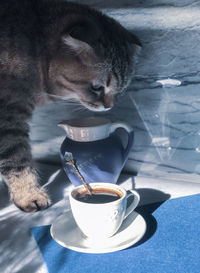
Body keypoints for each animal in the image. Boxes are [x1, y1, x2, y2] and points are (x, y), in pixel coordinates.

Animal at [0, 0, 141, 211]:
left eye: (122, 88)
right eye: (97, 87)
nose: (109, 106)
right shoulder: (9, 115)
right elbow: (17, 157)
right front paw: (28, 194)